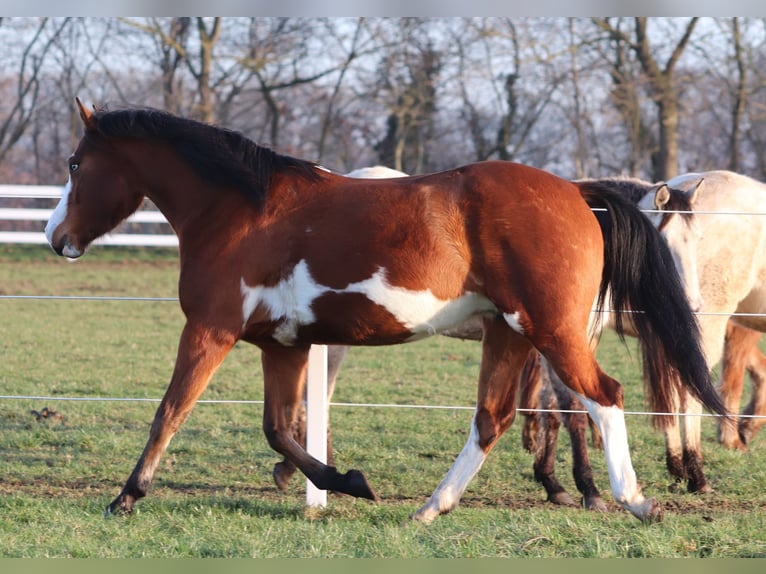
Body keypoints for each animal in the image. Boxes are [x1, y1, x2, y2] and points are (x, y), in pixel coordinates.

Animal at [45, 98, 727, 523]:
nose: (56, 238)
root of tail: (577, 193)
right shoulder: (283, 345)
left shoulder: (211, 330)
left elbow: (170, 412)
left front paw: (126, 497)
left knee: (601, 397)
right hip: (509, 334)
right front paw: (348, 482)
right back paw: (431, 508)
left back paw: (633, 500)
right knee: (493, 418)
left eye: (76, 163)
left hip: (551, 331)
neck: (242, 212)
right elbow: (279, 430)